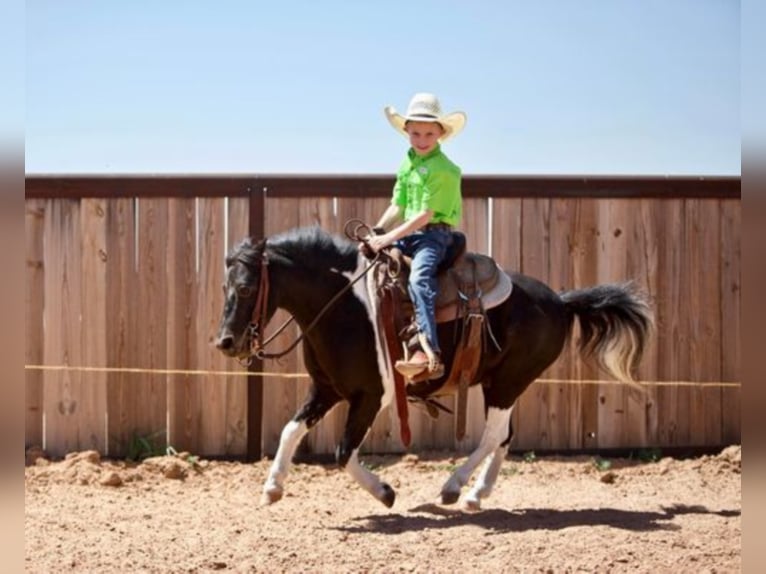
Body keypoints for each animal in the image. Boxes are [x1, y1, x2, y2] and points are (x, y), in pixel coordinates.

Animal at [214, 226, 656, 512]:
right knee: (504, 437)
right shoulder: (325, 389)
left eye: (247, 287)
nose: (225, 343)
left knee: (493, 435)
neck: (346, 305)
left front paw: (385, 493)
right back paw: (477, 495)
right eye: (224, 286)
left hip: (508, 382)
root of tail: (560, 302)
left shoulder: (370, 396)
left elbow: (343, 452)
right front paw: (272, 487)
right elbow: (291, 430)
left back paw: (454, 487)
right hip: (501, 384)